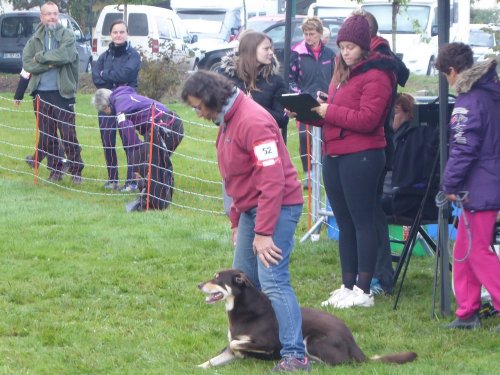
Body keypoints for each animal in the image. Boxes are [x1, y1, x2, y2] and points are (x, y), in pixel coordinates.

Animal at [197, 270, 416, 370]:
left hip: (311, 341)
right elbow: (212, 359)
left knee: (342, 363)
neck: (243, 309)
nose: (198, 285)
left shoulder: (268, 343)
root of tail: (353, 342)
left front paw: (242, 351)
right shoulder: (228, 347)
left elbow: (236, 344)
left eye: (217, 279)